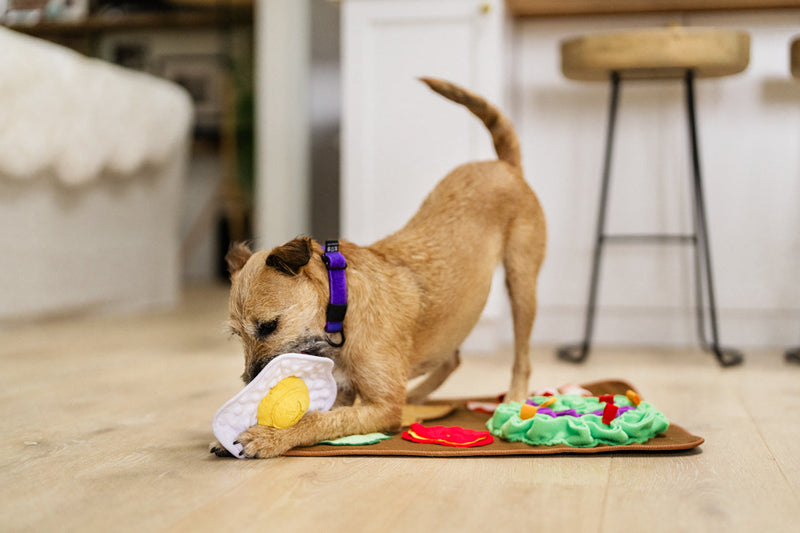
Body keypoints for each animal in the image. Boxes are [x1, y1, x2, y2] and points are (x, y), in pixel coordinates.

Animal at [212, 78, 548, 458]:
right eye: (237, 335)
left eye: (269, 326)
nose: (249, 381)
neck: (341, 304)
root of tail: (505, 167)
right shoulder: (345, 393)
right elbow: (323, 414)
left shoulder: (382, 407)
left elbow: (316, 421)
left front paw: (269, 436)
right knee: (450, 360)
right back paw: (418, 399)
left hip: (522, 285)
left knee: (521, 358)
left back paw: (513, 398)